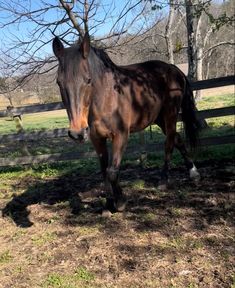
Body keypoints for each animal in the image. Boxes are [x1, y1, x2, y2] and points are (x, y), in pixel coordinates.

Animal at [52, 33, 200, 212]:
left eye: (88, 80)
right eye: (59, 82)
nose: (77, 133)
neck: (107, 97)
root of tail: (174, 69)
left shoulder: (121, 135)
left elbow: (112, 171)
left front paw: (121, 202)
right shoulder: (97, 139)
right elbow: (104, 171)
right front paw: (108, 205)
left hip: (170, 114)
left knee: (169, 142)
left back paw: (164, 180)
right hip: (158, 118)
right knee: (177, 139)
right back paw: (193, 173)